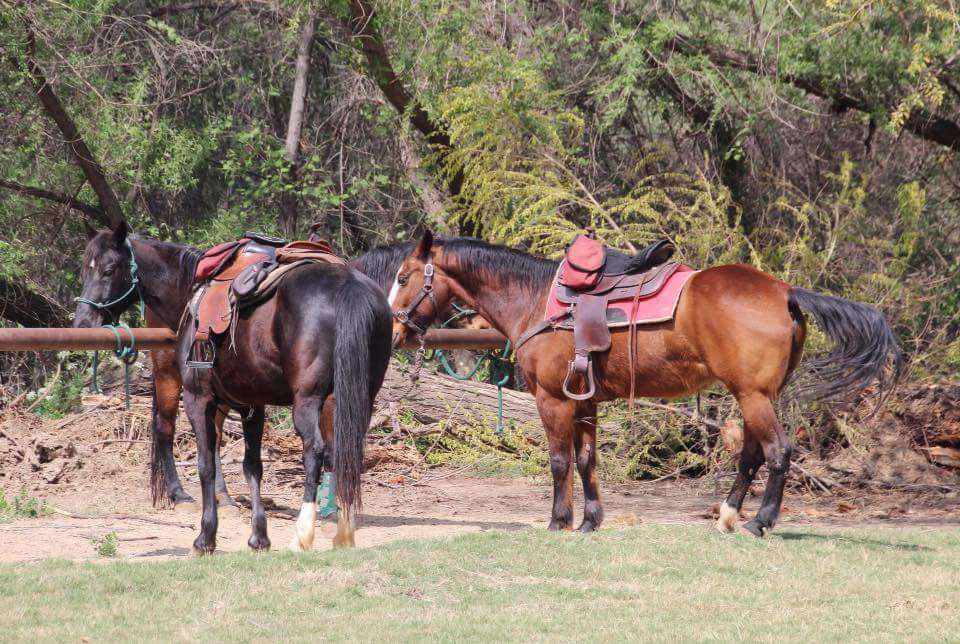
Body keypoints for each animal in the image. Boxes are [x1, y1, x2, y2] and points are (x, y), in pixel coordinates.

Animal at [73, 224, 392, 552]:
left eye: (109, 270)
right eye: (85, 269)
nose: (83, 322)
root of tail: (348, 287)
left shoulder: (198, 399)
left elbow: (205, 464)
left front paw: (205, 537)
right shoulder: (252, 405)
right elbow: (252, 466)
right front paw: (259, 537)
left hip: (308, 399)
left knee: (315, 450)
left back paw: (302, 535)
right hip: (357, 397)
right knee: (346, 452)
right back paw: (343, 532)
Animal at [386, 234, 904, 536]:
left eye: (403, 275)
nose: (392, 329)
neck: (535, 301)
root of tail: (784, 291)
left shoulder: (553, 400)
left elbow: (558, 461)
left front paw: (558, 521)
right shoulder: (586, 400)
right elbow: (587, 460)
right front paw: (590, 521)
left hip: (753, 396)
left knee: (777, 452)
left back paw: (760, 522)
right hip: (755, 396)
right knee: (752, 454)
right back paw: (729, 515)